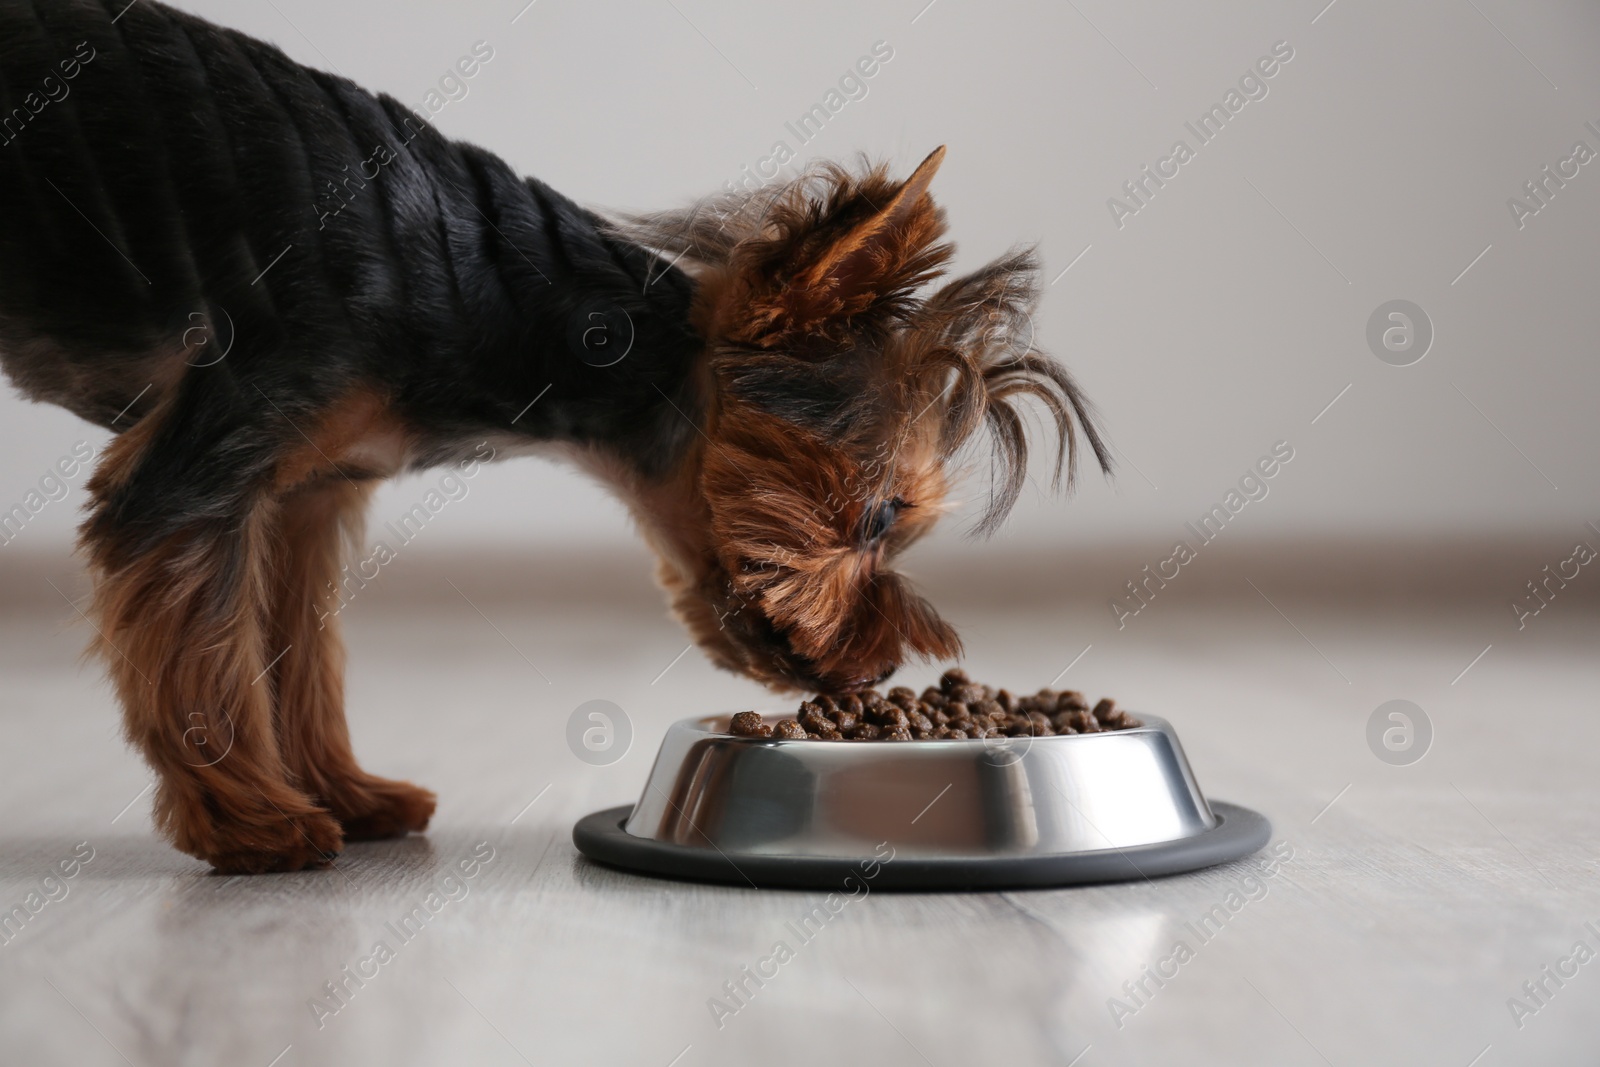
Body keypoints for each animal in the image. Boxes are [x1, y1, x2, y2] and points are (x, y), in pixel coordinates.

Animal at [0, 0, 1107, 876]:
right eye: (881, 514)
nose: (878, 673)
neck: (487, 290)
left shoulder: (306, 491)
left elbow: (297, 650)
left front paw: (346, 793)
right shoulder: (207, 467)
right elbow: (205, 661)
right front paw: (253, 823)